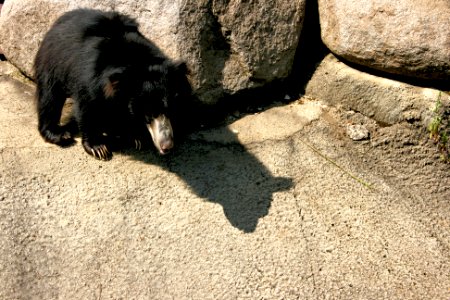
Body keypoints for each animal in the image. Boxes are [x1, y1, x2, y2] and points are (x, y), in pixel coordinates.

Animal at [34, 8, 188, 161]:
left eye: (170, 109)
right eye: (148, 114)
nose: (167, 146)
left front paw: (135, 136)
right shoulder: (89, 79)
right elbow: (88, 108)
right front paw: (98, 148)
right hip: (53, 62)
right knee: (49, 97)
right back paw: (59, 134)